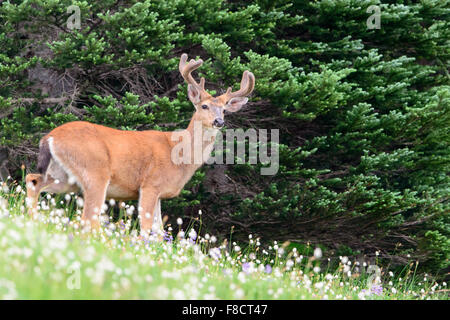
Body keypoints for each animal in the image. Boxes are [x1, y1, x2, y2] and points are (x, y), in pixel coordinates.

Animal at [26, 53, 255, 236]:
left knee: (33, 180)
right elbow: (145, 229)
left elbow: (159, 231)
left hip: (64, 176)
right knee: (88, 218)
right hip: (95, 171)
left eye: (224, 109)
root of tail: (50, 138)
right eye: (204, 106)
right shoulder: (150, 184)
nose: (219, 121)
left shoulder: (159, 193)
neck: (179, 155)